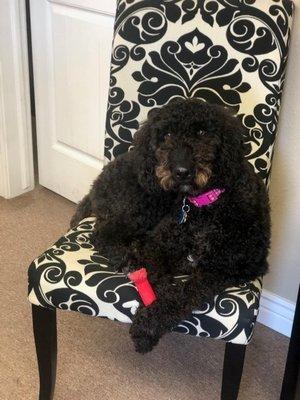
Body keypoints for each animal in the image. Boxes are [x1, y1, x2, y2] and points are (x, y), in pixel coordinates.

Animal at [70, 99, 270, 354]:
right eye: (166, 135)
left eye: (202, 132)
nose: (181, 171)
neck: (205, 206)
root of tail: (98, 182)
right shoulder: (158, 244)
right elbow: (160, 281)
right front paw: (153, 311)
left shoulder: (229, 268)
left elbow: (187, 293)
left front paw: (147, 326)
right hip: (145, 205)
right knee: (102, 233)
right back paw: (126, 257)